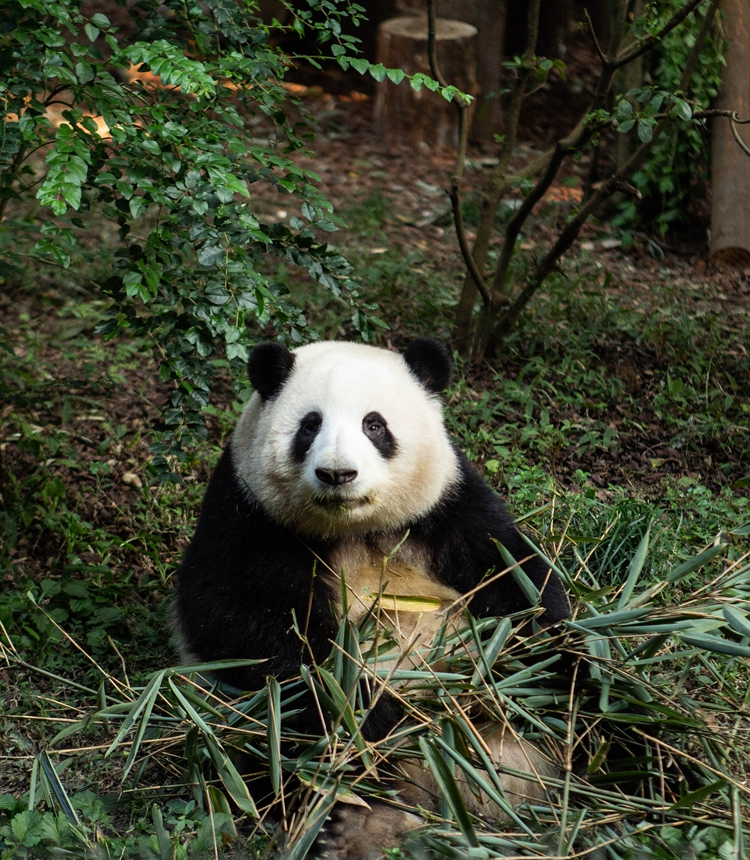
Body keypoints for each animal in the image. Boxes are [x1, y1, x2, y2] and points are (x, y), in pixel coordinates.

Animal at [173, 337, 569, 859]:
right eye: (310, 425)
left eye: (374, 425)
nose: (337, 473)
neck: (353, 528)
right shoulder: (247, 511)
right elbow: (245, 623)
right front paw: (363, 705)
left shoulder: (447, 503)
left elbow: (514, 576)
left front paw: (549, 657)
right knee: (259, 749)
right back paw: (353, 826)